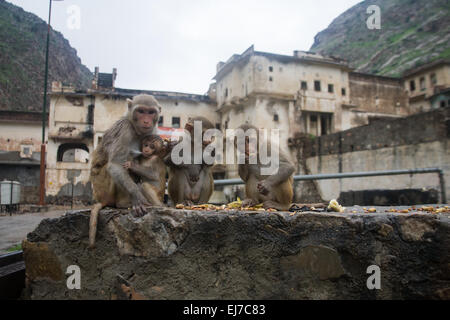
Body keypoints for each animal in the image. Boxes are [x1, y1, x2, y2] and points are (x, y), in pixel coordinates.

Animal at [89, 94, 161, 248]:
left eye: (151, 112)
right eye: (141, 111)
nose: (146, 120)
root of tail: (99, 198)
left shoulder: (152, 132)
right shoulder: (125, 130)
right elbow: (115, 164)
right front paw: (137, 196)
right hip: (102, 189)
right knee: (124, 159)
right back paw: (124, 203)